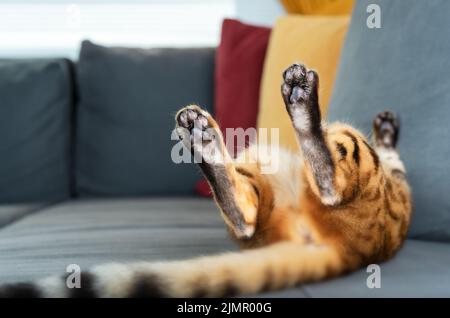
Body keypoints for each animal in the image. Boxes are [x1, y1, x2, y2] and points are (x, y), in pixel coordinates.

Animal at [0, 62, 412, 298]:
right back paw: (299, 103)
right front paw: (387, 128)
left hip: (262, 175)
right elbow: (392, 160)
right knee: (328, 182)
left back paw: (206, 140)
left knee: (247, 214)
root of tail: (358, 253)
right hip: (336, 149)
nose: (386, 121)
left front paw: (387, 129)